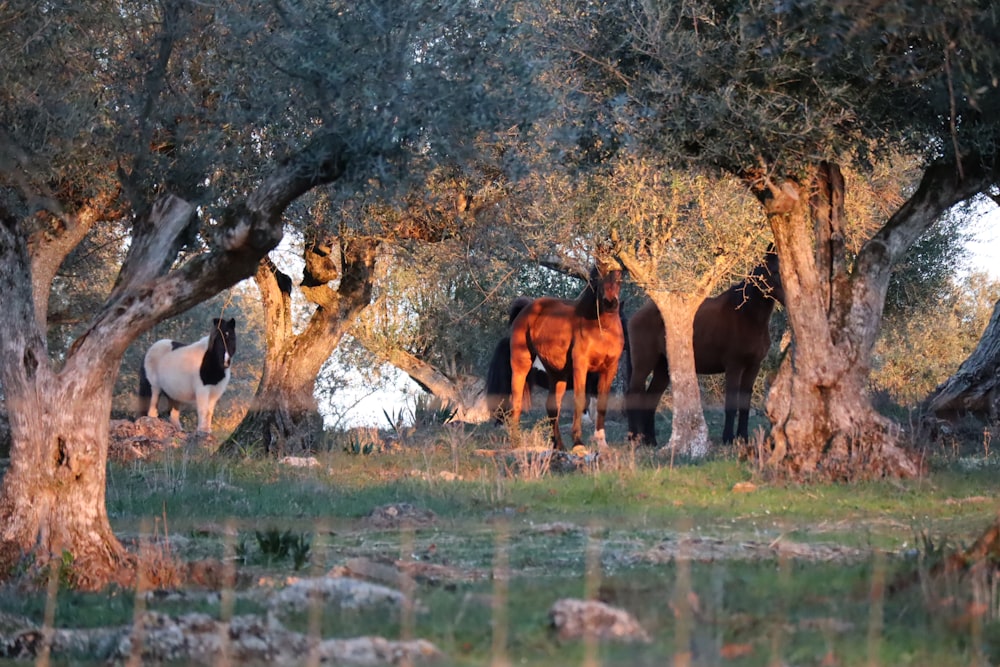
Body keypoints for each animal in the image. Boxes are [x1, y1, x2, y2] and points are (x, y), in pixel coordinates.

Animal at [508, 264, 624, 448]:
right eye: (598, 276)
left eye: (619, 276)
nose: (610, 303)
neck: (602, 329)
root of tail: (526, 307)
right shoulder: (580, 366)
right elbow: (580, 400)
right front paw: (578, 442)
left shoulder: (610, 368)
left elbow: (602, 404)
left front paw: (602, 443)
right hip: (521, 364)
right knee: (517, 402)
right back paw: (515, 441)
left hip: (557, 373)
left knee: (552, 406)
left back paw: (559, 446)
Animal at [624, 250, 780, 448]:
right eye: (773, 271)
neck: (746, 315)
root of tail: (637, 315)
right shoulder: (734, 366)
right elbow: (731, 404)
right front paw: (728, 438)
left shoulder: (753, 367)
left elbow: (745, 404)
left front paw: (743, 438)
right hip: (644, 363)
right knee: (633, 394)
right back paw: (633, 439)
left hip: (663, 368)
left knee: (651, 398)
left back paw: (650, 440)